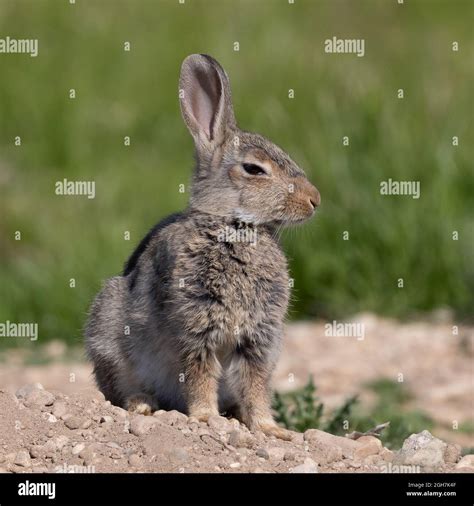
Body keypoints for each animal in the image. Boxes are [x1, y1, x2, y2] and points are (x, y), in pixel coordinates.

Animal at [86, 52, 320, 438]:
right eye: (254, 169)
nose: (314, 200)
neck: (232, 226)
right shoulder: (195, 328)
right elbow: (199, 375)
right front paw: (205, 418)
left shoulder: (259, 337)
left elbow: (256, 384)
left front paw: (269, 428)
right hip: (107, 337)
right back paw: (142, 404)